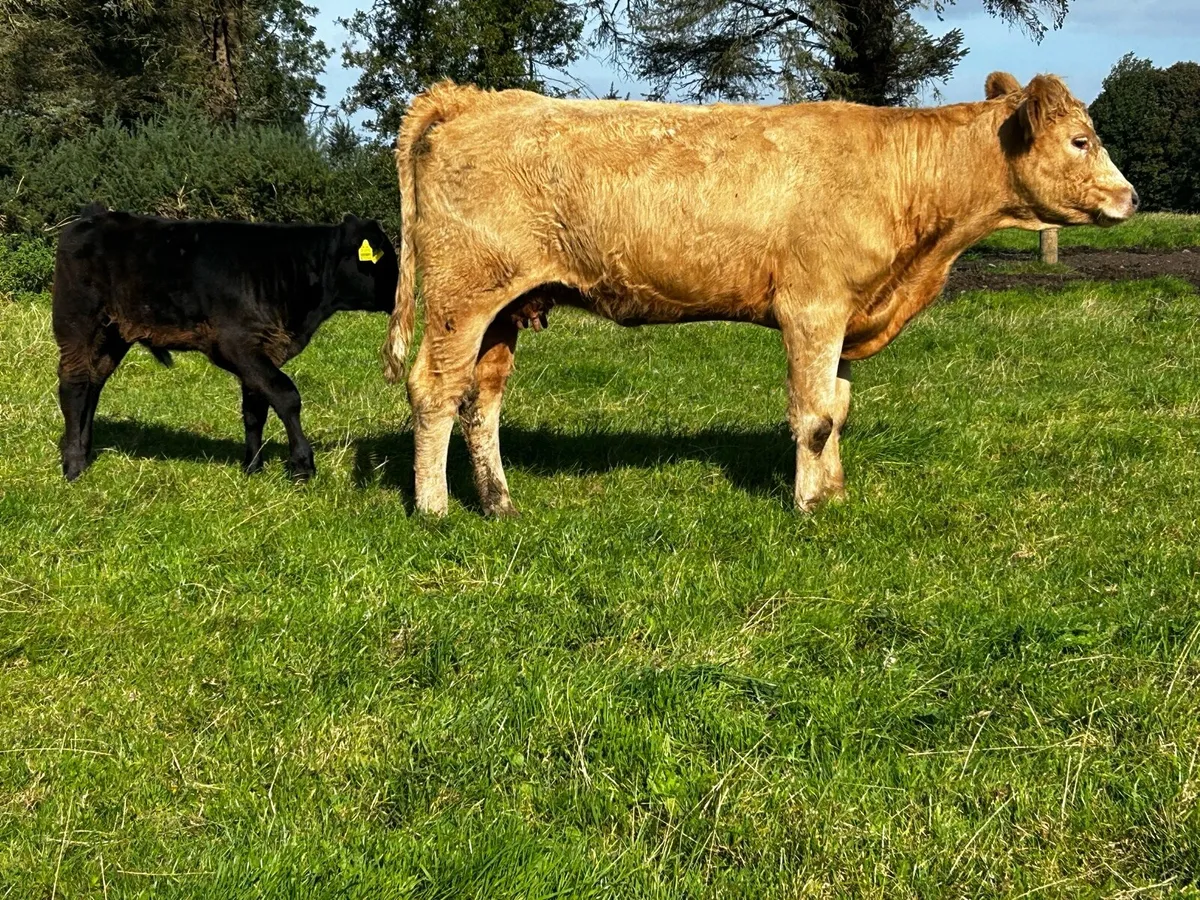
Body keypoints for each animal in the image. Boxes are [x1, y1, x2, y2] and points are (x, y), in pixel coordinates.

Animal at [53, 207, 399, 482]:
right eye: (385, 262)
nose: (403, 294)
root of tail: (93, 217)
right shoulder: (237, 343)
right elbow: (286, 395)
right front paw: (302, 465)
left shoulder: (263, 350)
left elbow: (256, 408)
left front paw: (253, 467)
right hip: (76, 321)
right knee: (74, 384)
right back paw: (73, 465)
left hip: (114, 333)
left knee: (94, 382)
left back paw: (84, 450)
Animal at [382, 72, 1137, 517]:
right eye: (1080, 140)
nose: (1130, 197)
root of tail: (475, 99)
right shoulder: (813, 308)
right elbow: (813, 415)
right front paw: (806, 508)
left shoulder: (845, 315)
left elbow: (838, 407)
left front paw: (834, 494)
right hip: (459, 299)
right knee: (435, 390)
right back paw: (434, 507)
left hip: (504, 307)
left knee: (481, 401)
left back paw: (499, 503)